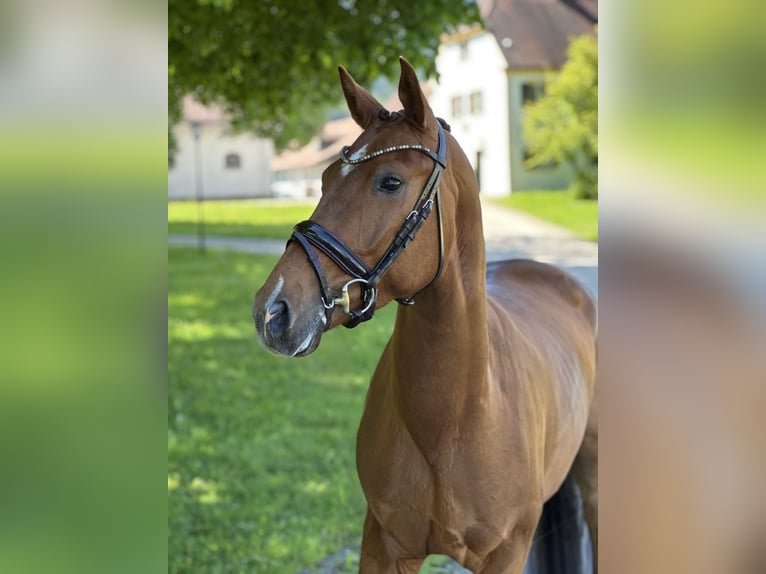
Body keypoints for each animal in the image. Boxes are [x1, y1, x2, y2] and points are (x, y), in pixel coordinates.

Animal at [253, 57, 598, 574]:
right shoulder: (383, 544)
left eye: (390, 182)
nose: (272, 309)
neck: (452, 423)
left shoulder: (506, 553)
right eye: (325, 179)